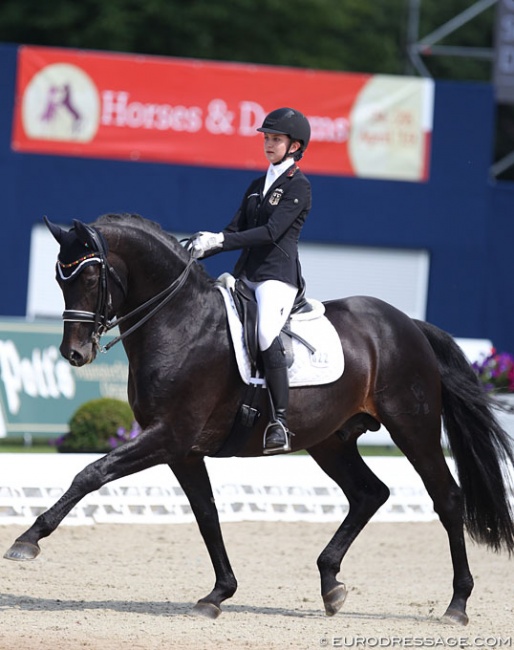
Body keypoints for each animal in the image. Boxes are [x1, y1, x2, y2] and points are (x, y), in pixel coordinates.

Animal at [5, 213, 512, 624]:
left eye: (91, 276)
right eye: (59, 277)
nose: (75, 354)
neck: (179, 321)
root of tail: (409, 325)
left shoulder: (168, 436)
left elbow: (91, 473)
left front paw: (27, 540)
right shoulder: (182, 450)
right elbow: (206, 513)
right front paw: (217, 594)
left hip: (413, 427)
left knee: (447, 498)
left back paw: (457, 605)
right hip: (330, 440)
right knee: (370, 493)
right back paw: (331, 585)